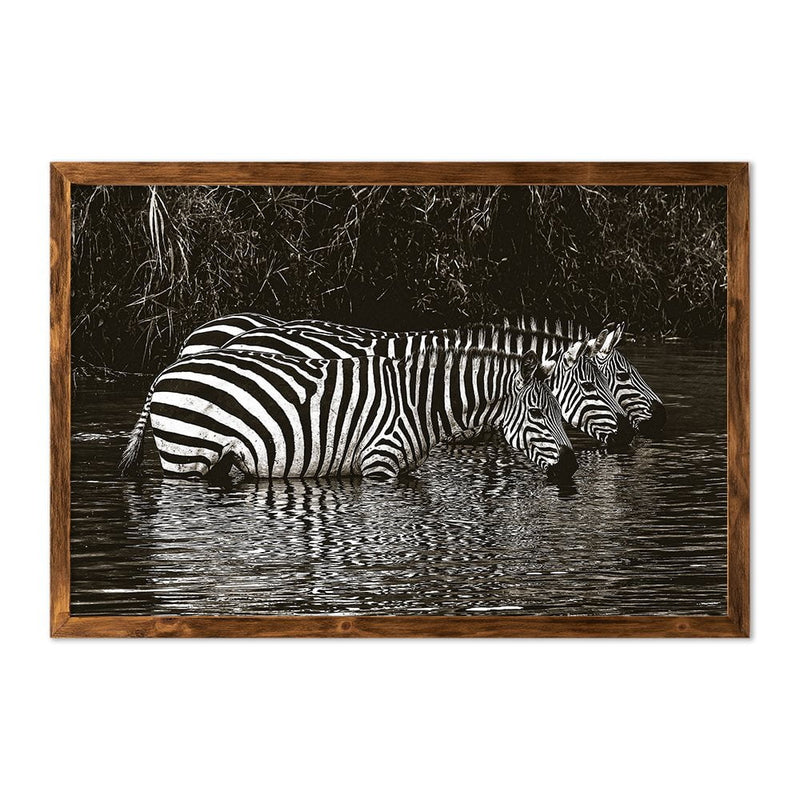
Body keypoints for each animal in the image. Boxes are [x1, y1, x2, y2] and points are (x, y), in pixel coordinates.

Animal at [119, 345, 577, 481]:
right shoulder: (379, 465)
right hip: (186, 457)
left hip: (214, 462)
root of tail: (164, 373)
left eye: (559, 409)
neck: (420, 403)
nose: (572, 466)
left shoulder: (403, 470)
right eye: (537, 412)